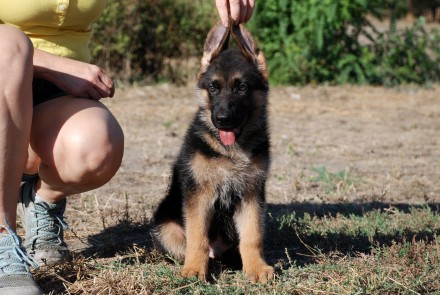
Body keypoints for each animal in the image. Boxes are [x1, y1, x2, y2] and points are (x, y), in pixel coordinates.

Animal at [153, 21, 274, 284]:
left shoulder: (251, 195)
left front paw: (257, 267)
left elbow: (252, 236)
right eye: (213, 87)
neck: (230, 150)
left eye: (242, 87)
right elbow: (197, 237)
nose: (223, 119)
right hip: (166, 226)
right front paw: (194, 269)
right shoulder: (199, 195)